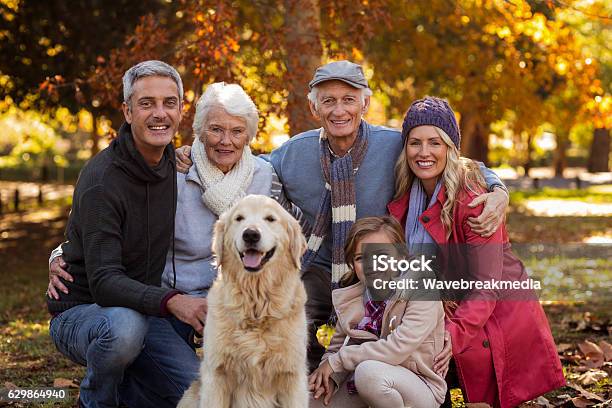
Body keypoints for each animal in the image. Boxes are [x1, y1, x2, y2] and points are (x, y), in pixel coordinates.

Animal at [178, 194, 310, 408]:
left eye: (270, 219)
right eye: (239, 218)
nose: (251, 234)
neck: (255, 306)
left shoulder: (292, 376)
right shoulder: (216, 374)